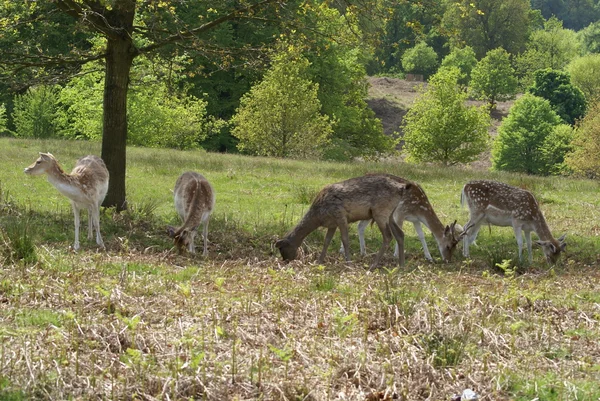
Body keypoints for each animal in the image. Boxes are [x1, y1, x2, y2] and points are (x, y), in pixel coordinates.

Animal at [276, 173, 464, 268]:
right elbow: (327, 241)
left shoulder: (340, 215)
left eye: (283, 249)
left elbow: (345, 239)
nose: (286, 261)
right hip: (390, 214)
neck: (318, 215)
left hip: (381, 212)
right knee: (400, 234)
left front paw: (348, 263)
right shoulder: (332, 223)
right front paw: (320, 261)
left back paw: (374, 265)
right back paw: (401, 265)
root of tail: (402, 188)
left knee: (388, 236)